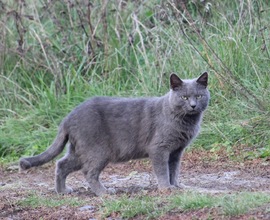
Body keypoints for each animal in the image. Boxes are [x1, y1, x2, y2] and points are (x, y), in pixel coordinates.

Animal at [20, 72, 211, 196]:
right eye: (184, 97)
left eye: (199, 96)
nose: (193, 105)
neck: (185, 122)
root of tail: (68, 117)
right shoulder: (160, 148)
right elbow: (163, 170)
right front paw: (166, 188)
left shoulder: (177, 151)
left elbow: (174, 169)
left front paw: (177, 185)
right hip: (98, 150)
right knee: (88, 172)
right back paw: (104, 192)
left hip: (79, 150)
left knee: (61, 164)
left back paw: (62, 191)